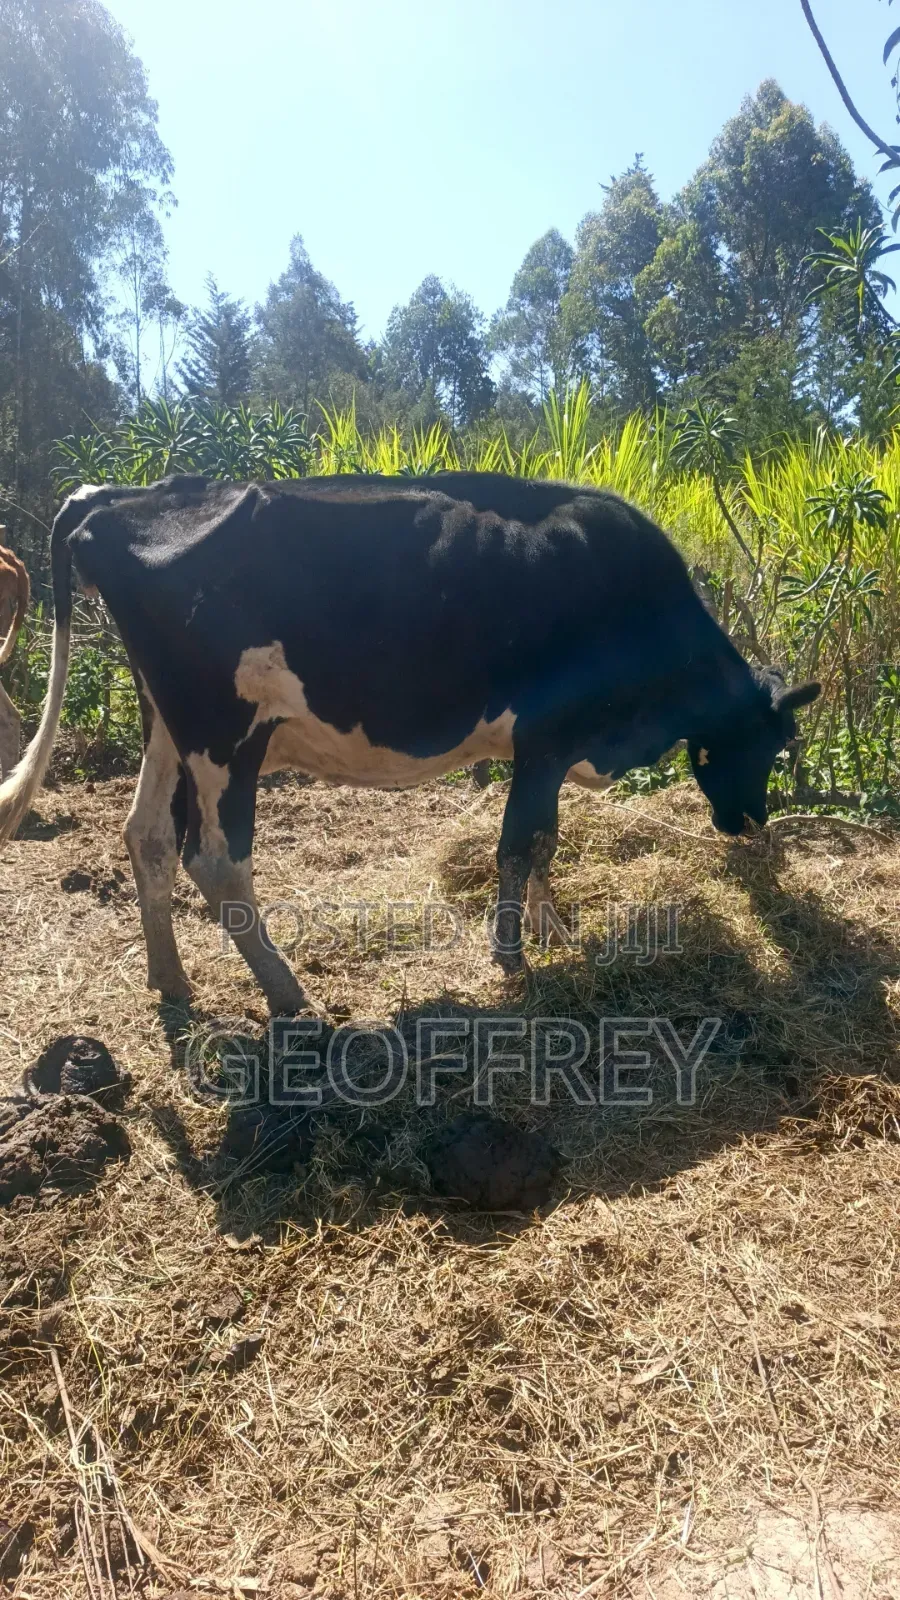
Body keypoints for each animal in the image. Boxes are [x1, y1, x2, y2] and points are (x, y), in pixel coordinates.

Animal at [0, 474, 819, 1013]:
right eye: (770, 741)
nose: (750, 821)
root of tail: (119, 498)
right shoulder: (546, 737)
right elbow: (519, 843)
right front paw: (511, 955)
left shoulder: (552, 751)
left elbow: (546, 841)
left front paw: (553, 928)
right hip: (226, 736)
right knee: (216, 860)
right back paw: (291, 995)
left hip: (167, 725)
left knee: (146, 837)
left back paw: (171, 980)